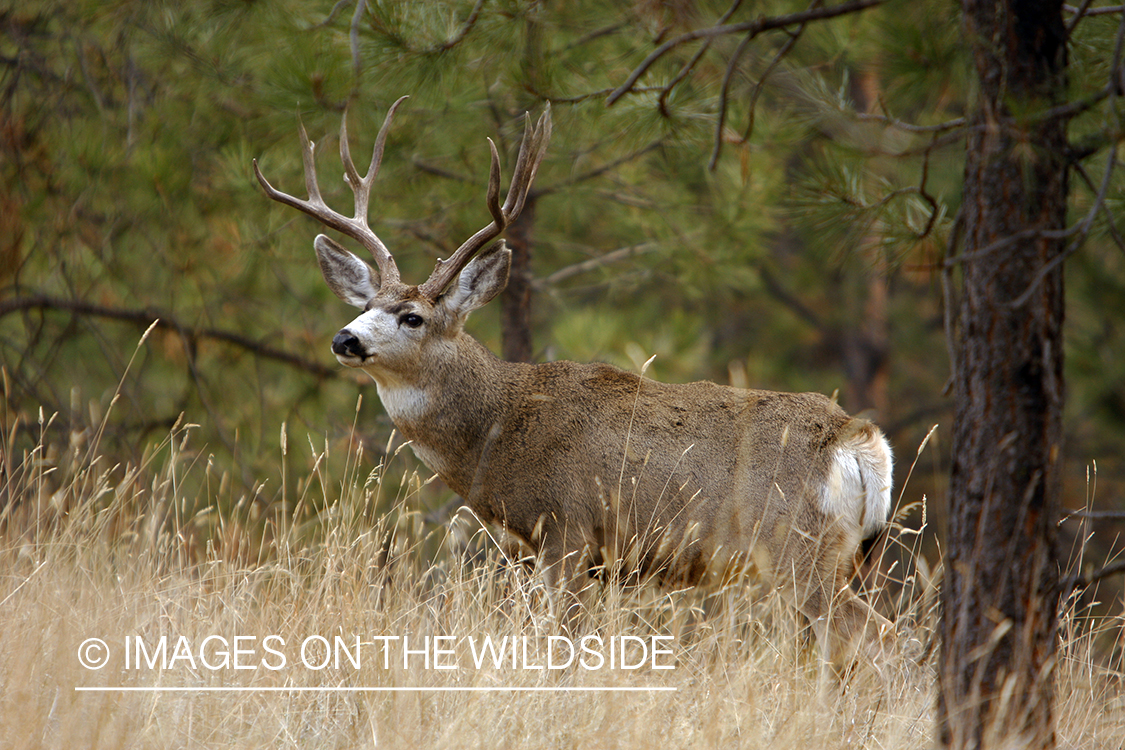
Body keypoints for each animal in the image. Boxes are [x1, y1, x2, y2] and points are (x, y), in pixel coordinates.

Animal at [253, 97, 895, 673]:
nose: (345, 339)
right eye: (366, 305)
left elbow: (562, 645)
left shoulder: (567, 530)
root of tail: (857, 439)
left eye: (411, 317)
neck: (501, 429)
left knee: (874, 638)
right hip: (844, 555)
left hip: (797, 547)